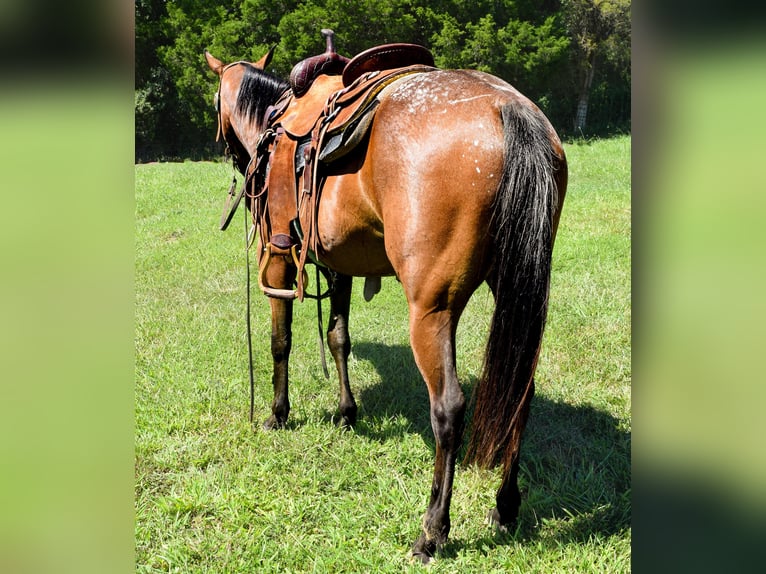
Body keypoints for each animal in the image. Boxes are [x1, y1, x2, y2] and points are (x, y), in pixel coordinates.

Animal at [207, 42, 568, 564]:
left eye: (214, 102)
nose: (233, 154)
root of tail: (509, 108)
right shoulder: (337, 264)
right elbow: (338, 337)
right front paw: (345, 413)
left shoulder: (277, 258)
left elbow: (281, 341)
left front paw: (278, 413)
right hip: (516, 292)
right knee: (518, 392)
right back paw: (504, 508)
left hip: (432, 310)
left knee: (448, 408)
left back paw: (432, 531)